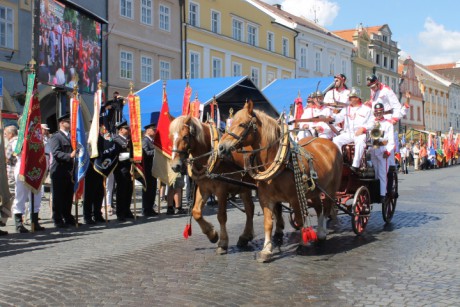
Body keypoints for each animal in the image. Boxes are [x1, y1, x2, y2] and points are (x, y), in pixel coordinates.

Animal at [168, 115, 256, 255]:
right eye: (171, 137)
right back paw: (245, 237)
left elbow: (221, 216)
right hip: (244, 187)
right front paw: (212, 234)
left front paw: (223, 243)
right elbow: (196, 212)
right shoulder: (204, 189)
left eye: (185, 136)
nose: (175, 166)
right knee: (250, 209)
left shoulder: (221, 190)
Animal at [218, 100, 342, 262]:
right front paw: (266, 250)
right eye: (231, 122)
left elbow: (300, 220)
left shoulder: (295, 198)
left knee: (327, 207)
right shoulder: (265, 198)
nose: (221, 147)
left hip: (330, 189)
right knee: (318, 207)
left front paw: (303, 244)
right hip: (314, 189)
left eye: (242, 124)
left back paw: (322, 233)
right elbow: (268, 223)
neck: (278, 162)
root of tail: (328, 143)